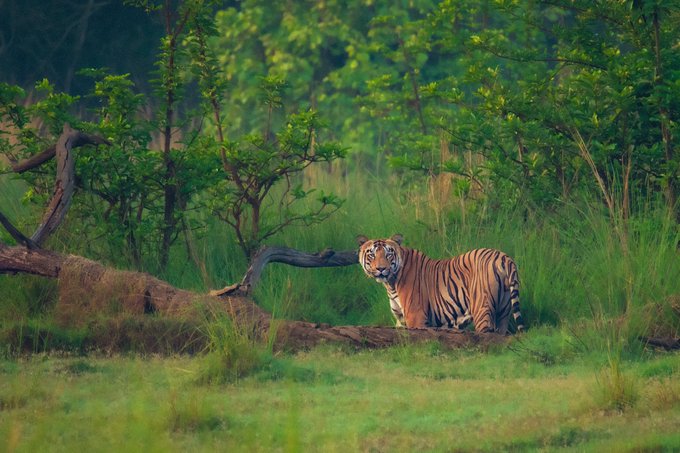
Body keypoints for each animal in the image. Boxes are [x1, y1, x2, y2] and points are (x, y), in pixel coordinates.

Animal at [357, 234, 525, 334]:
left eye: (388, 254)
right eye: (372, 254)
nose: (381, 269)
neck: (390, 284)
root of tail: (503, 256)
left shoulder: (415, 317)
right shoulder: (401, 320)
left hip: (481, 308)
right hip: (503, 311)